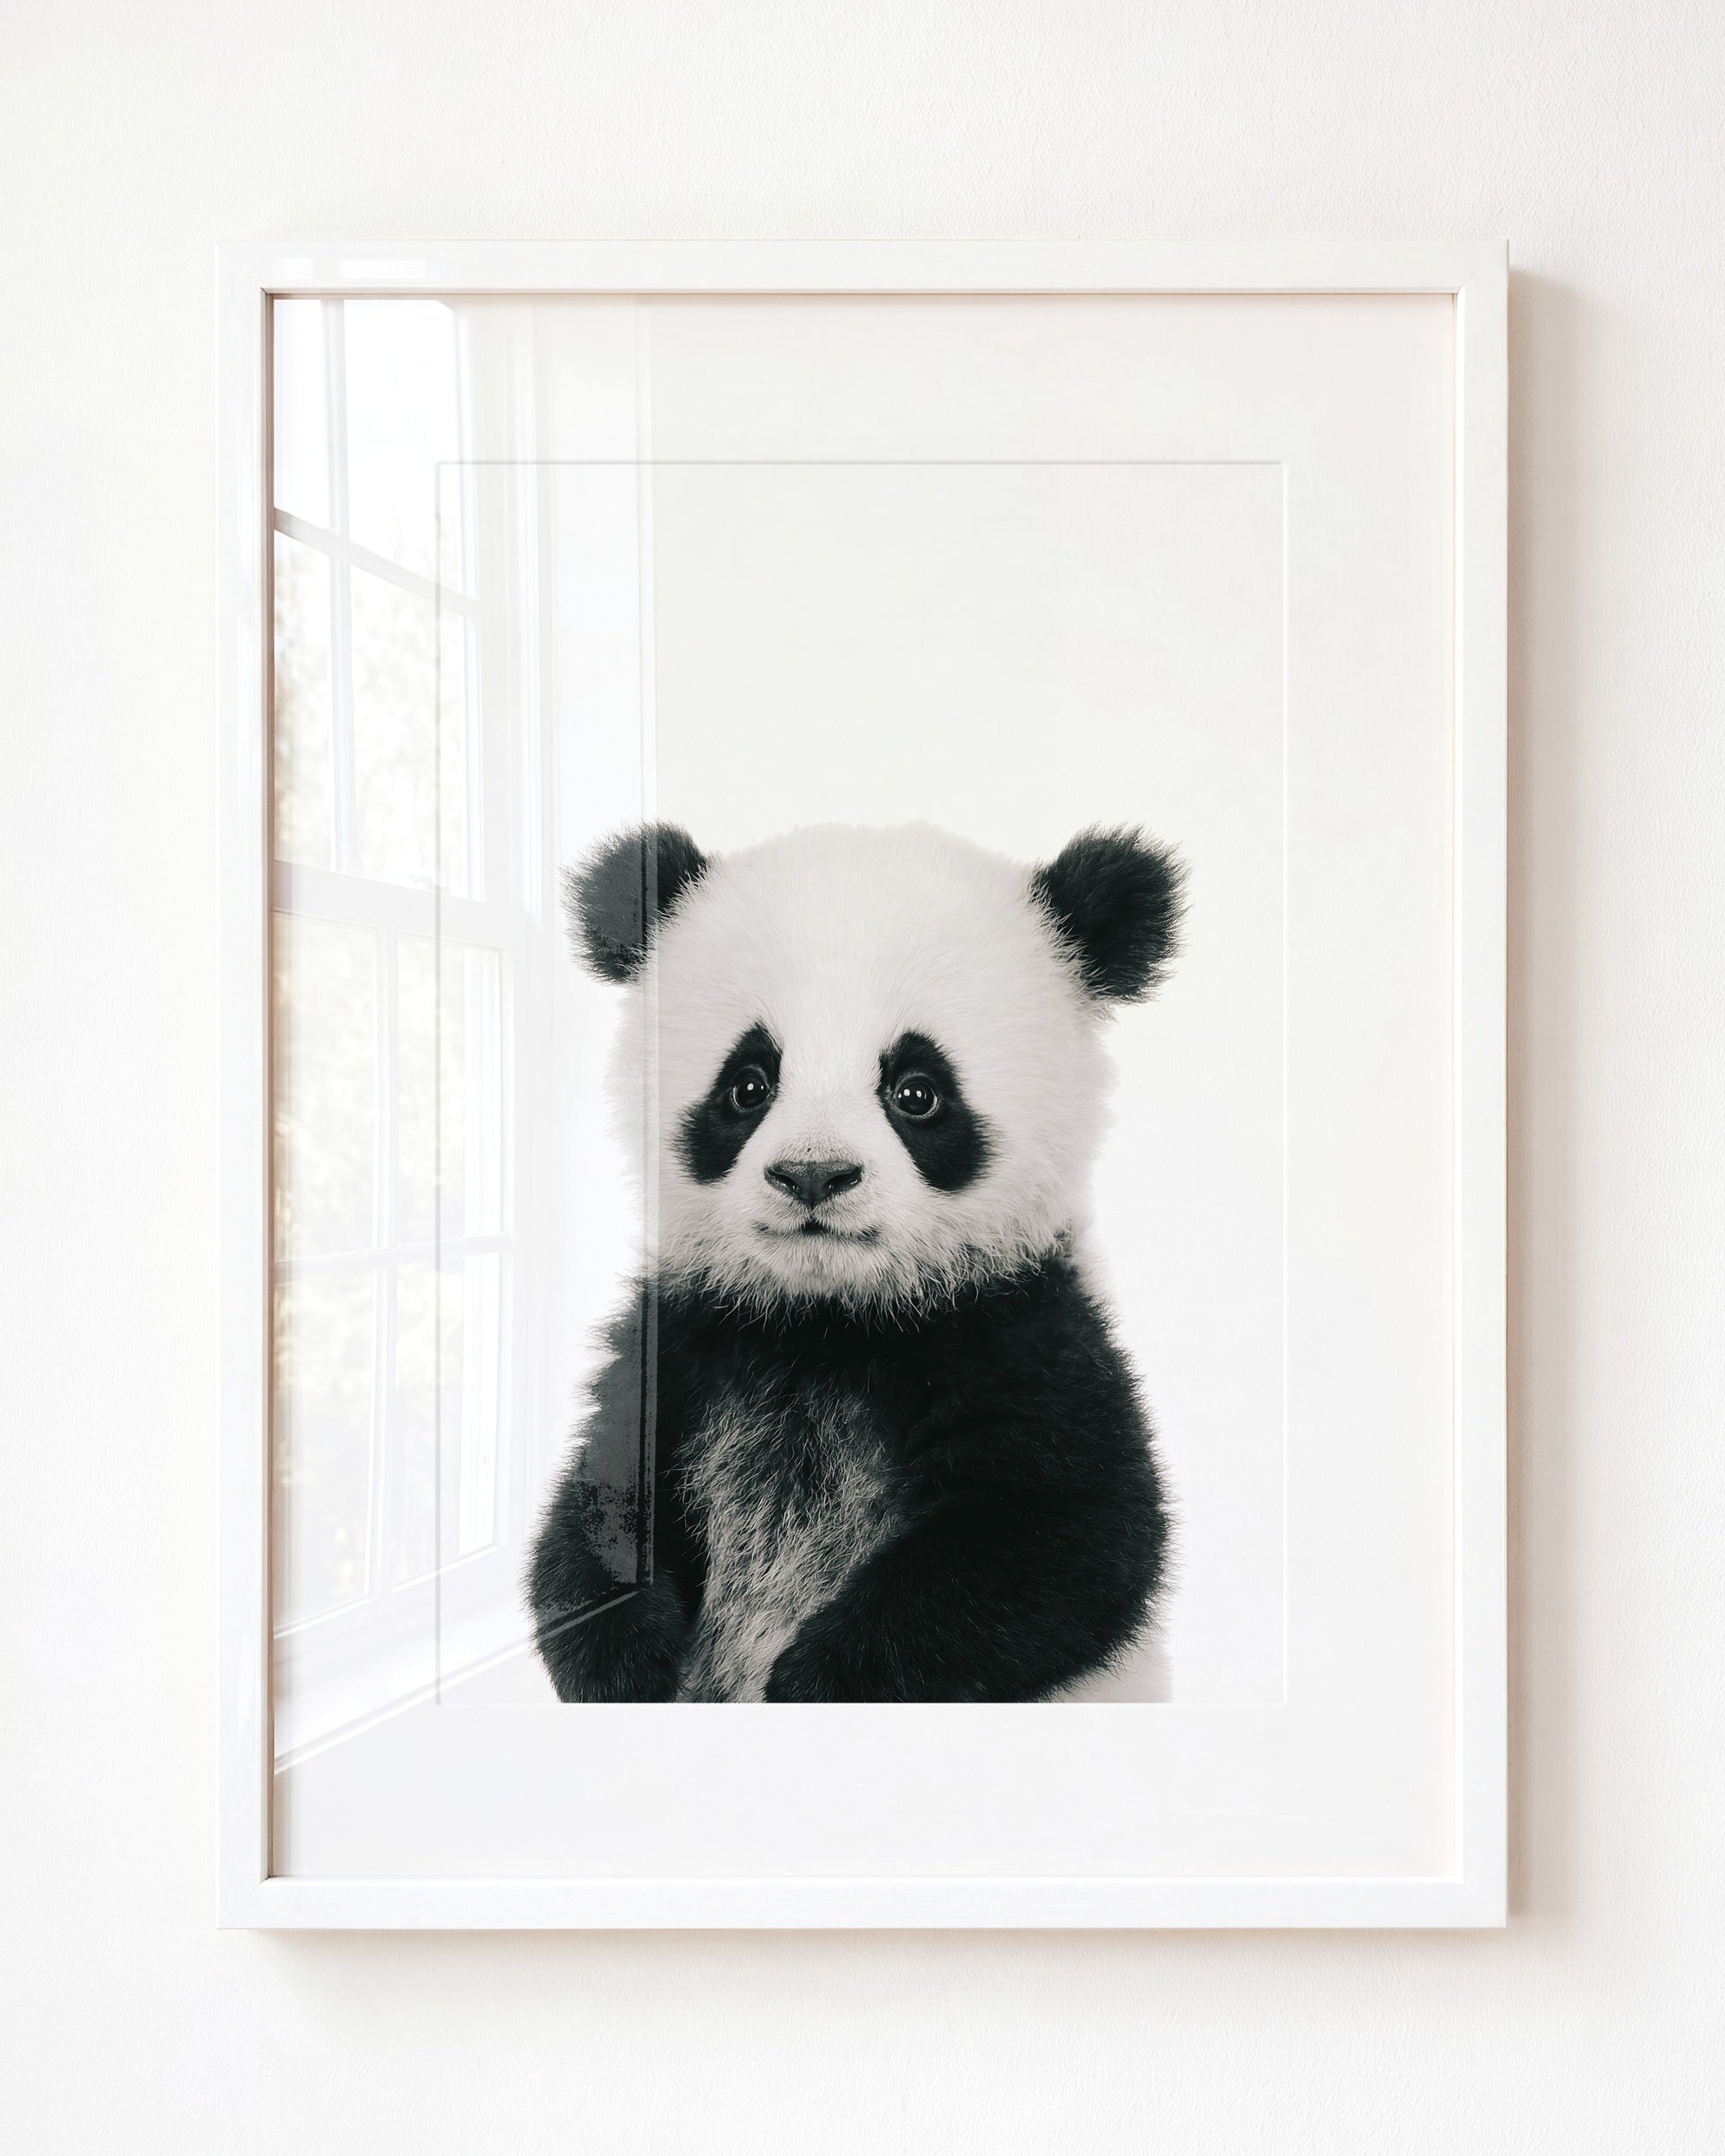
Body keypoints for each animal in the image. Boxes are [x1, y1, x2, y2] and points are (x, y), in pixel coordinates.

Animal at [528, 818, 1183, 1703]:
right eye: (748, 1085)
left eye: (917, 1091)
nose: (814, 1174)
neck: (828, 1319)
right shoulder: (686, 1336)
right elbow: (596, 1510)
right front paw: (627, 1663)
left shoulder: (1022, 1332)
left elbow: (1069, 1535)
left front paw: (815, 1681)